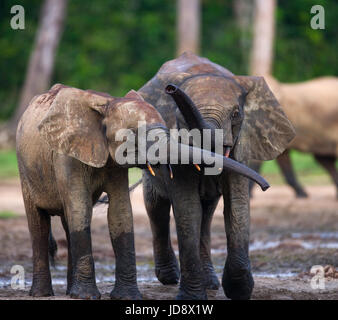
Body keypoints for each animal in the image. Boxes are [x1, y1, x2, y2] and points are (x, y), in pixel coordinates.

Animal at [16, 81, 266, 298]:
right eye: (135, 135)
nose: (265, 186)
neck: (107, 105)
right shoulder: (66, 156)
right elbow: (80, 208)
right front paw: (86, 297)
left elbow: (120, 213)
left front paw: (125, 297)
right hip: (25, 171)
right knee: (39, 225)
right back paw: (42, 294)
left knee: (67, 222)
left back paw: (69, 291)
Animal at [139, 52, 294, 300]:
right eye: (181, 115)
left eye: (236, 114)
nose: (171, 88)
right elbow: (188, 208)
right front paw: (191, 297)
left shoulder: (242, 145)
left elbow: (237, 204)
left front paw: (239, 290)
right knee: (156, 208)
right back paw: (169, 278)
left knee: (207, 213)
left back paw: (210, 283)